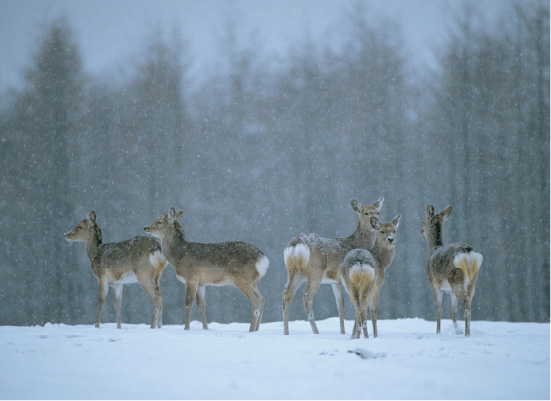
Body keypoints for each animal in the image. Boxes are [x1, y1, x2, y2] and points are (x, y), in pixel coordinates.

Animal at [280, 197, 384, 334]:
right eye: (365, 213)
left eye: (378, 212)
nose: (374, 222)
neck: (358, 243)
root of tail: (295, 244)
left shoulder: (335, 281)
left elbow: (340, 306)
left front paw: (342, 332)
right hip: (315, 271)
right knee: (307, 297)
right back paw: (316, 332)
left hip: (293, 271)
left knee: (286, 294)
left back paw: (286, 332)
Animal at [422, 205, 484, 336]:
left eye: (423, 222)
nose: (421, 232)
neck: (433, 250)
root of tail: (468, 253)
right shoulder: (450, 292)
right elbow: (452, 312)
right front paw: (457, 330)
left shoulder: (434, 284)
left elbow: (439, 310)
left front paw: (438, 332)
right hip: (472, 280)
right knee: (469, 303)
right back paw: (467, 332)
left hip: (456, 277)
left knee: (466, 302)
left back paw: (467, 334)